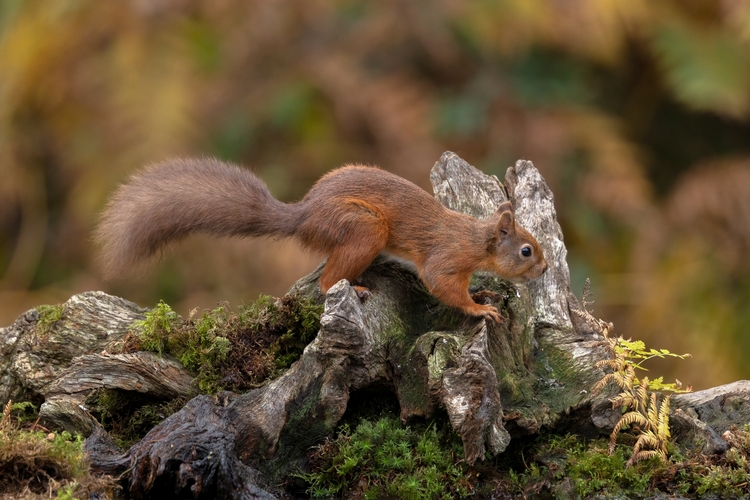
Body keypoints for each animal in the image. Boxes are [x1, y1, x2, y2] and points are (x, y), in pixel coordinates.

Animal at [96, 158, 547, 322]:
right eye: (526, 249)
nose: (544, 269)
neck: (476, 239)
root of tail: (305, 217)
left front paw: (483, 296)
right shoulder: (446, 257)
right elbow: (441, 285)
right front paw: (479, 309)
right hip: (364, 229)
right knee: (328, 281)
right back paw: (353, 287)